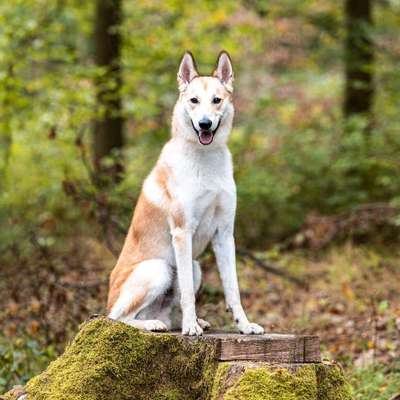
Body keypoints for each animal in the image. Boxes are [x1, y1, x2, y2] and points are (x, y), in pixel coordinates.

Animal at [106, 51, 266, 336]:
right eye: (194, 100)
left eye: (216, 100)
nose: (204, 124)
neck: (205, 158)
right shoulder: (182, 233)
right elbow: (190, 293)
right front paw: (190, 327)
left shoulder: (224, 235)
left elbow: (233, 289)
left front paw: (244, 325)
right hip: (158, 268)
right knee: (117, 317)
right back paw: (154, 323)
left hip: (194, 265)